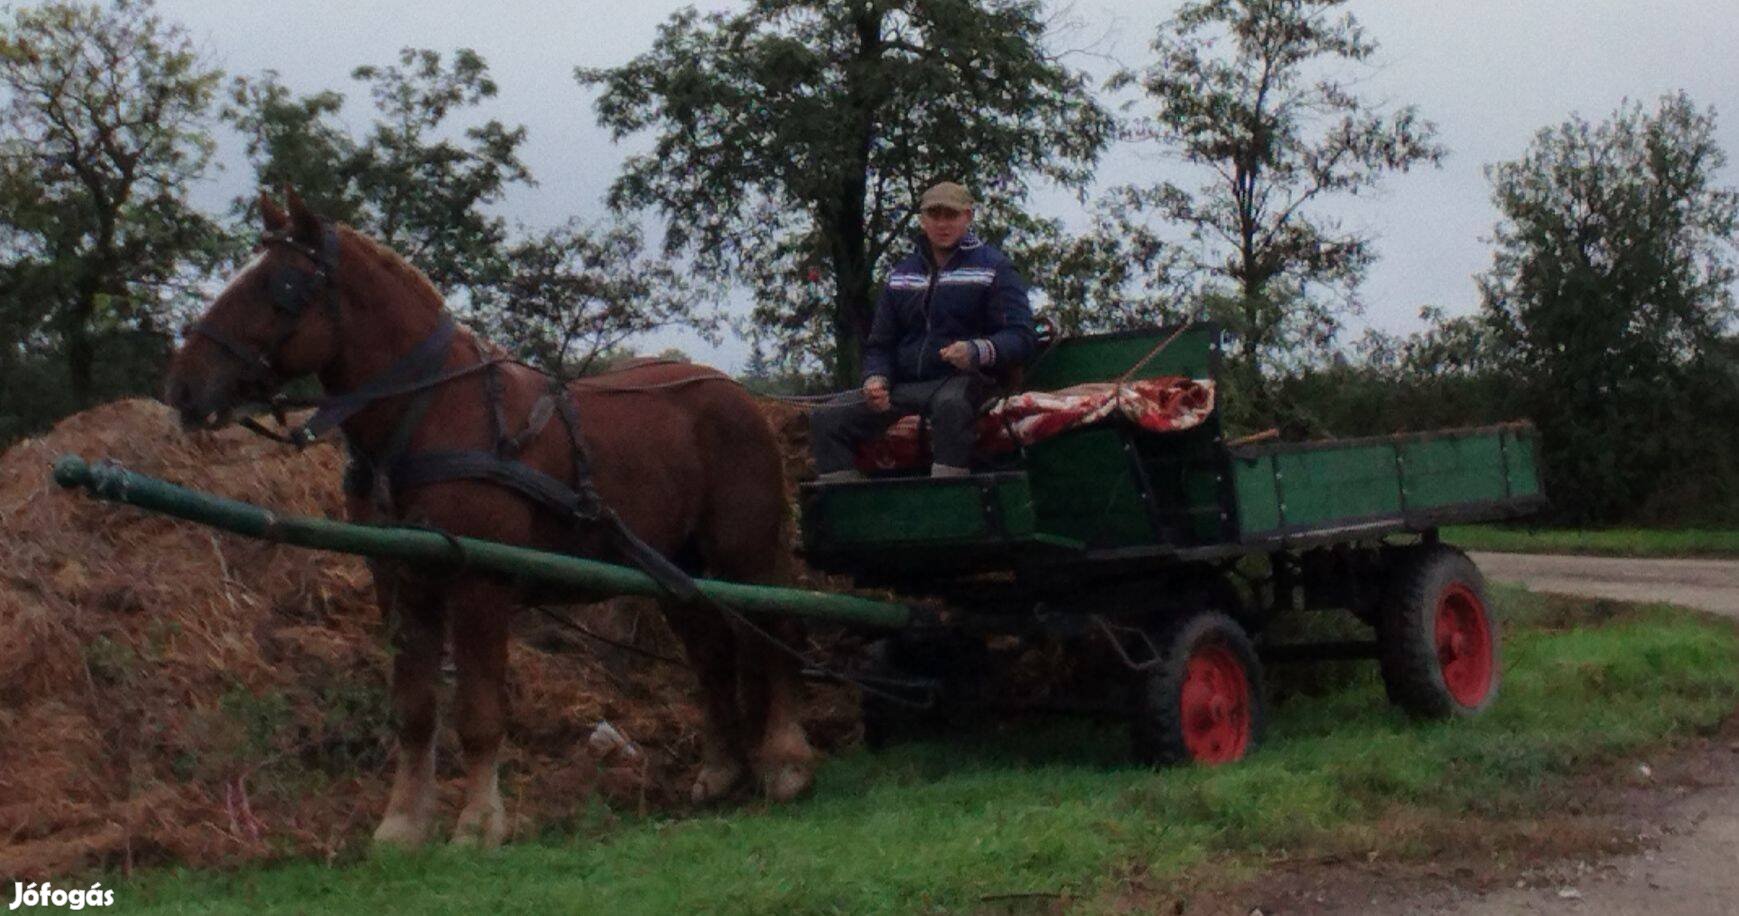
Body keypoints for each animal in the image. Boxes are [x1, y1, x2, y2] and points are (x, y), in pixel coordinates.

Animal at [163, 190, 813, 848]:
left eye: (282, 284)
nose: (182, 385)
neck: (433, 411)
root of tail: (736, 392)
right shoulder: (404, 583)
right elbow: (414, 710)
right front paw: (403, 823)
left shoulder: (480, 582)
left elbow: (478, 713)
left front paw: (478, 823)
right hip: (674, 568)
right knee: (712, 653)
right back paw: (723, 769)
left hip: (746, 548)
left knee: (778, 629)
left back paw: (785, 762)